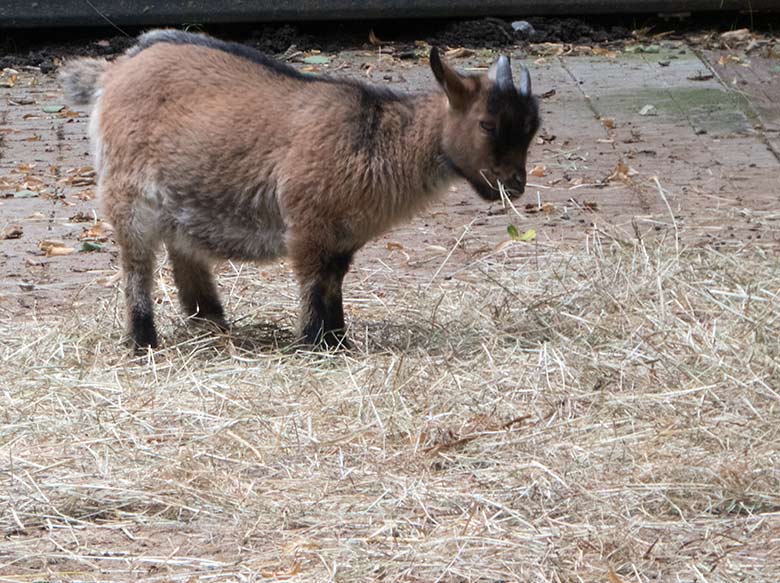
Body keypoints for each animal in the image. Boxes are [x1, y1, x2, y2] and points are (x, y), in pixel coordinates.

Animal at [61, 30, 540, 352]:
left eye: (532, 128)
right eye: (487, 124)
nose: (514, 184)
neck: (378, 137)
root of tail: (113, 74)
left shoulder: (343, 236)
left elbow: (333, 284)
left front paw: (339, 340)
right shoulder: (308, 224)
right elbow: (313, 283)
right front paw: (314, 342)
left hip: (179, 200)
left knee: (184, 253)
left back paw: (212, 324)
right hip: (128, 195)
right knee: (136, 267)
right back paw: (143, 340)